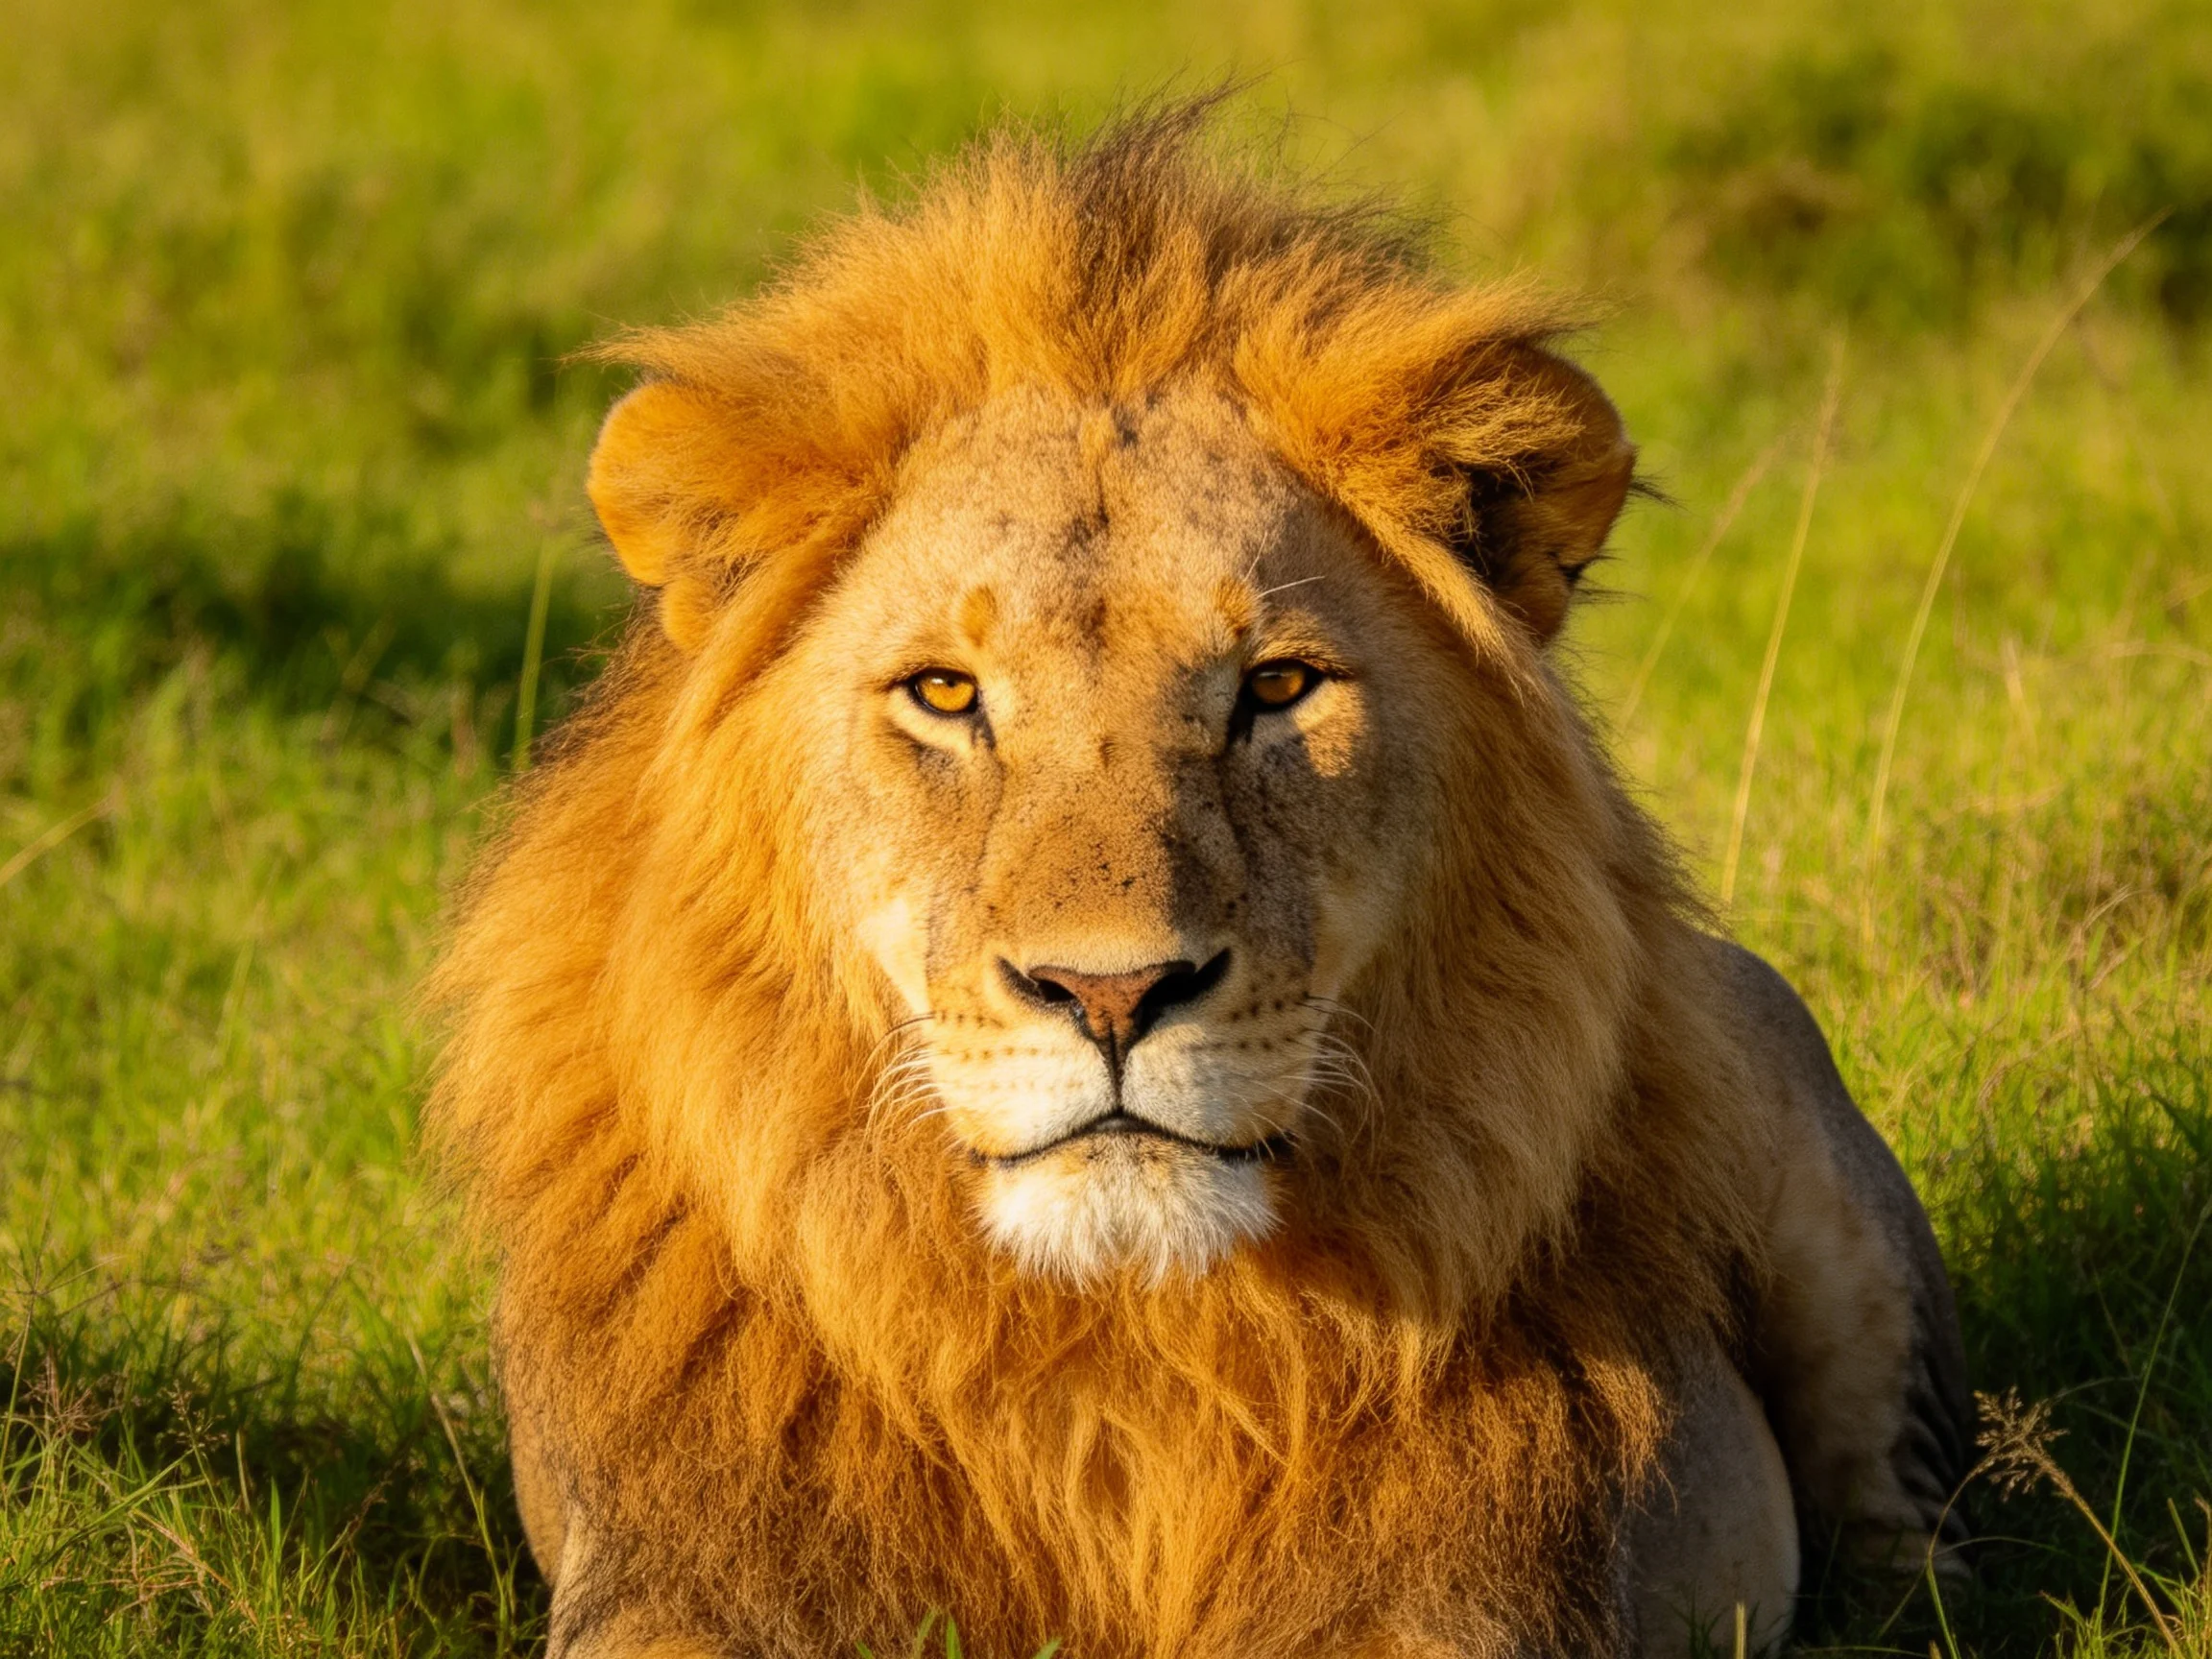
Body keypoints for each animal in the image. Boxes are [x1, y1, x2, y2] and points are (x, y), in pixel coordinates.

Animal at [430, 104, 1972, 1659]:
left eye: (1276, 688)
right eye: (946, 692)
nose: (1110, 993)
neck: (1117, 1351)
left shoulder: (1472, 1595)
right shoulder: (676, 1580)